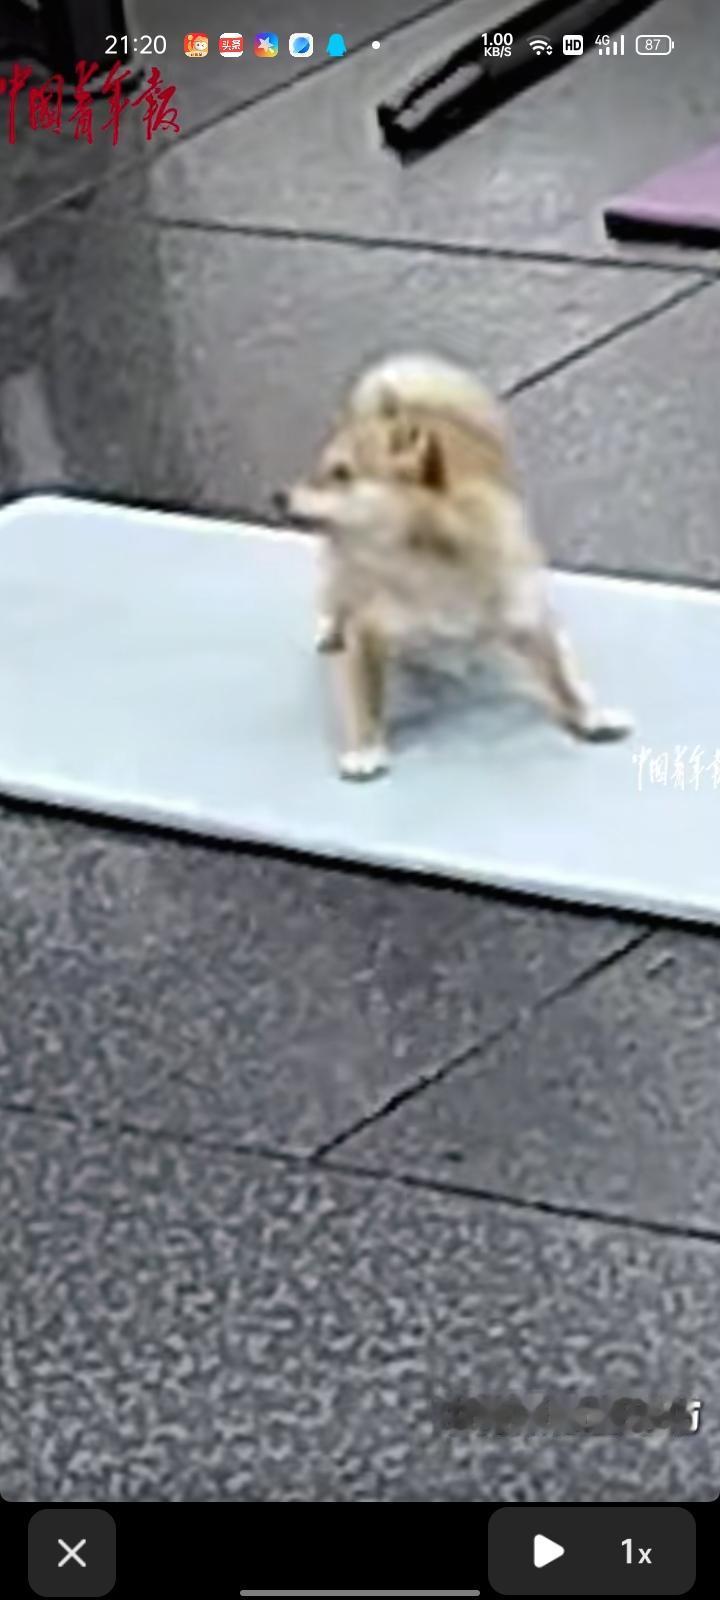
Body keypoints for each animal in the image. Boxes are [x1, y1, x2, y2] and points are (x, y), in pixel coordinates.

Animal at [283, 354, 631, 779]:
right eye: (321, 471)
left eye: (341, 474)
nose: (279, 495)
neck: (426, 561)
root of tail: (419, 406)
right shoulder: (368, 632)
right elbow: (365, 697)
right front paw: (366, 748)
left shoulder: (526, 616)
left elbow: (562, 676)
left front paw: (590, 717)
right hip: (339, 568)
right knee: (335, 596)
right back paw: (332, 628)